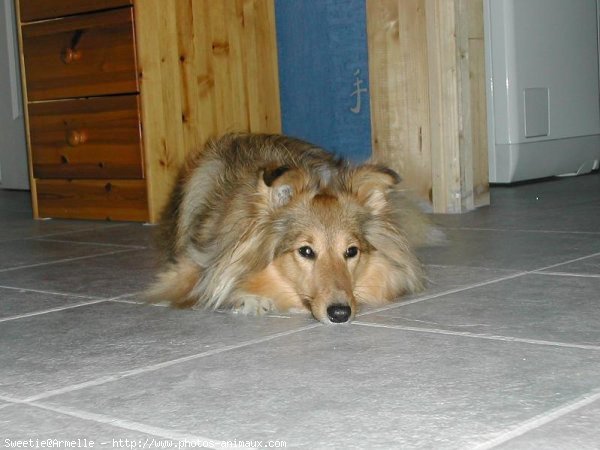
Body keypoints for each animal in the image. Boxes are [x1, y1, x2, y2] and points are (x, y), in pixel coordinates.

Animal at [145, 132, 436, 322]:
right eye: (306, 251)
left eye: (351, 252)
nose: (340, 314)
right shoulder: (190, 269)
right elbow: (213, 286)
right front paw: (251, 299)